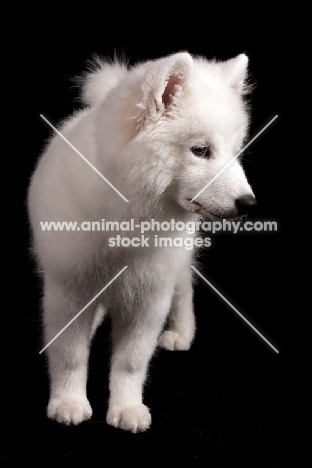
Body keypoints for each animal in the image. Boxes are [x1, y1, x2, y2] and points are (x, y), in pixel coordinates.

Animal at [27, 51, 256, 432]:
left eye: (234, 152)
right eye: (201, 151)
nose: (248, 203)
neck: (129, 215)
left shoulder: (149, 299)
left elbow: (131, 362)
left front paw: (127, 408)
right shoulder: (68, 291)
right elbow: (70, 354)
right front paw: (68, 402)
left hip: (177, 267)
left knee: (185, 289)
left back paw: (182, 332)